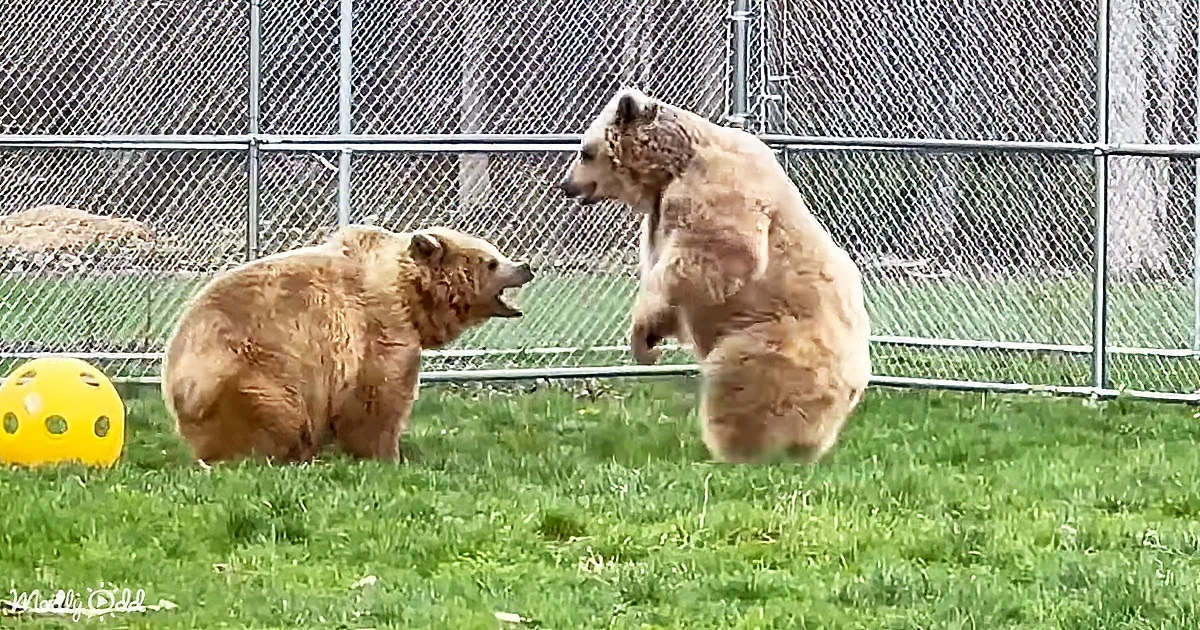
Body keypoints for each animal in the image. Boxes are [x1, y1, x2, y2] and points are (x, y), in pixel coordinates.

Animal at [160, 224, 534, 464]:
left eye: (497, 252)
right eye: (492, 261)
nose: (525, 266)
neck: (409, 297)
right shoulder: (377, 330)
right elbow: (379, 398)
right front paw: (387, 455)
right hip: (251, 372)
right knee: (271, 417)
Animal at [558, 87, 871, 464]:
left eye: (585, 151)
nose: (566, 185)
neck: (669, 170)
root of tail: (856, 377)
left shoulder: (713, 190)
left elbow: (707, 258)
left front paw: (641, 338)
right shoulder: (660, 215)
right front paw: (649, 342)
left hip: (779, 341)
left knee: (741, 381)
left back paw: (738, 451)